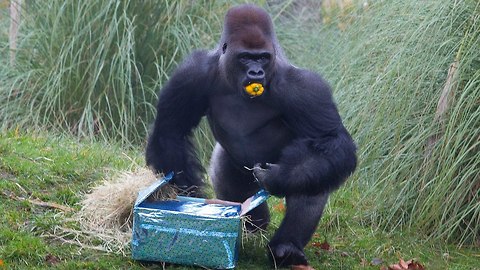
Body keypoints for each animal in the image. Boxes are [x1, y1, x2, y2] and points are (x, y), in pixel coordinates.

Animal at [144, 3, 354, 268]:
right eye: (245, 57)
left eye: (262, 57)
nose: (256, 72)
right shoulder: (192, 74)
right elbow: (171, 130)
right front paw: (187, 195)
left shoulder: (305, 87)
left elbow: (330, 140)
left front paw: (278, 177)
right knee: (234, 188)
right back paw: (252, 228)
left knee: (311, 174)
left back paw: (287, 247)